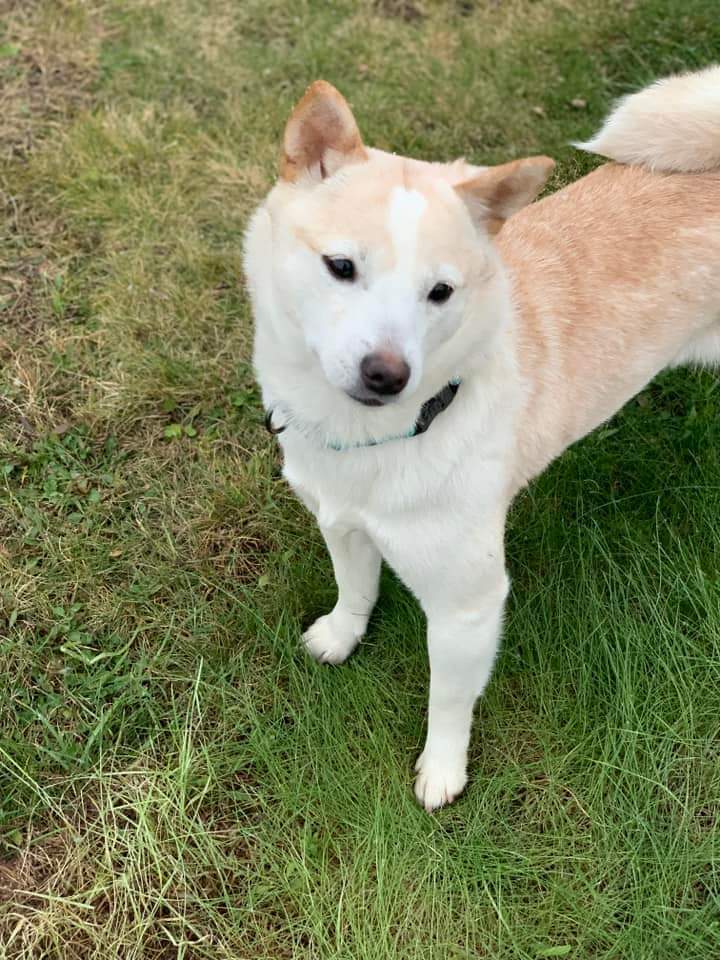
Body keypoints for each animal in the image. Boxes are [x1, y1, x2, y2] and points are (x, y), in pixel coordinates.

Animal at [243, 63, 720, 808]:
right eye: (341, 266)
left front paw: (443, 771)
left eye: (441, 292)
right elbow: (355, 590)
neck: (381, 436)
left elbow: (448, 699)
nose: (387, 374)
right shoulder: (339, 521)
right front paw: (341, 637)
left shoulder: (468, 603)